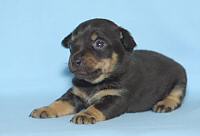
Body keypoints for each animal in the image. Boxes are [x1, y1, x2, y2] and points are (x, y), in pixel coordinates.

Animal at [30, 18, 187, 125]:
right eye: (71, 45)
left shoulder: (116, 98)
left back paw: (165, 103)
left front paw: (86, 114)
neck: (93, 83)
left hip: (180, 80)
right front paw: (46, 109)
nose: (75, 60)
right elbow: (59, 102)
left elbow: (97, 106)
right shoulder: (74, 94)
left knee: (176, 96)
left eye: (99, 43)